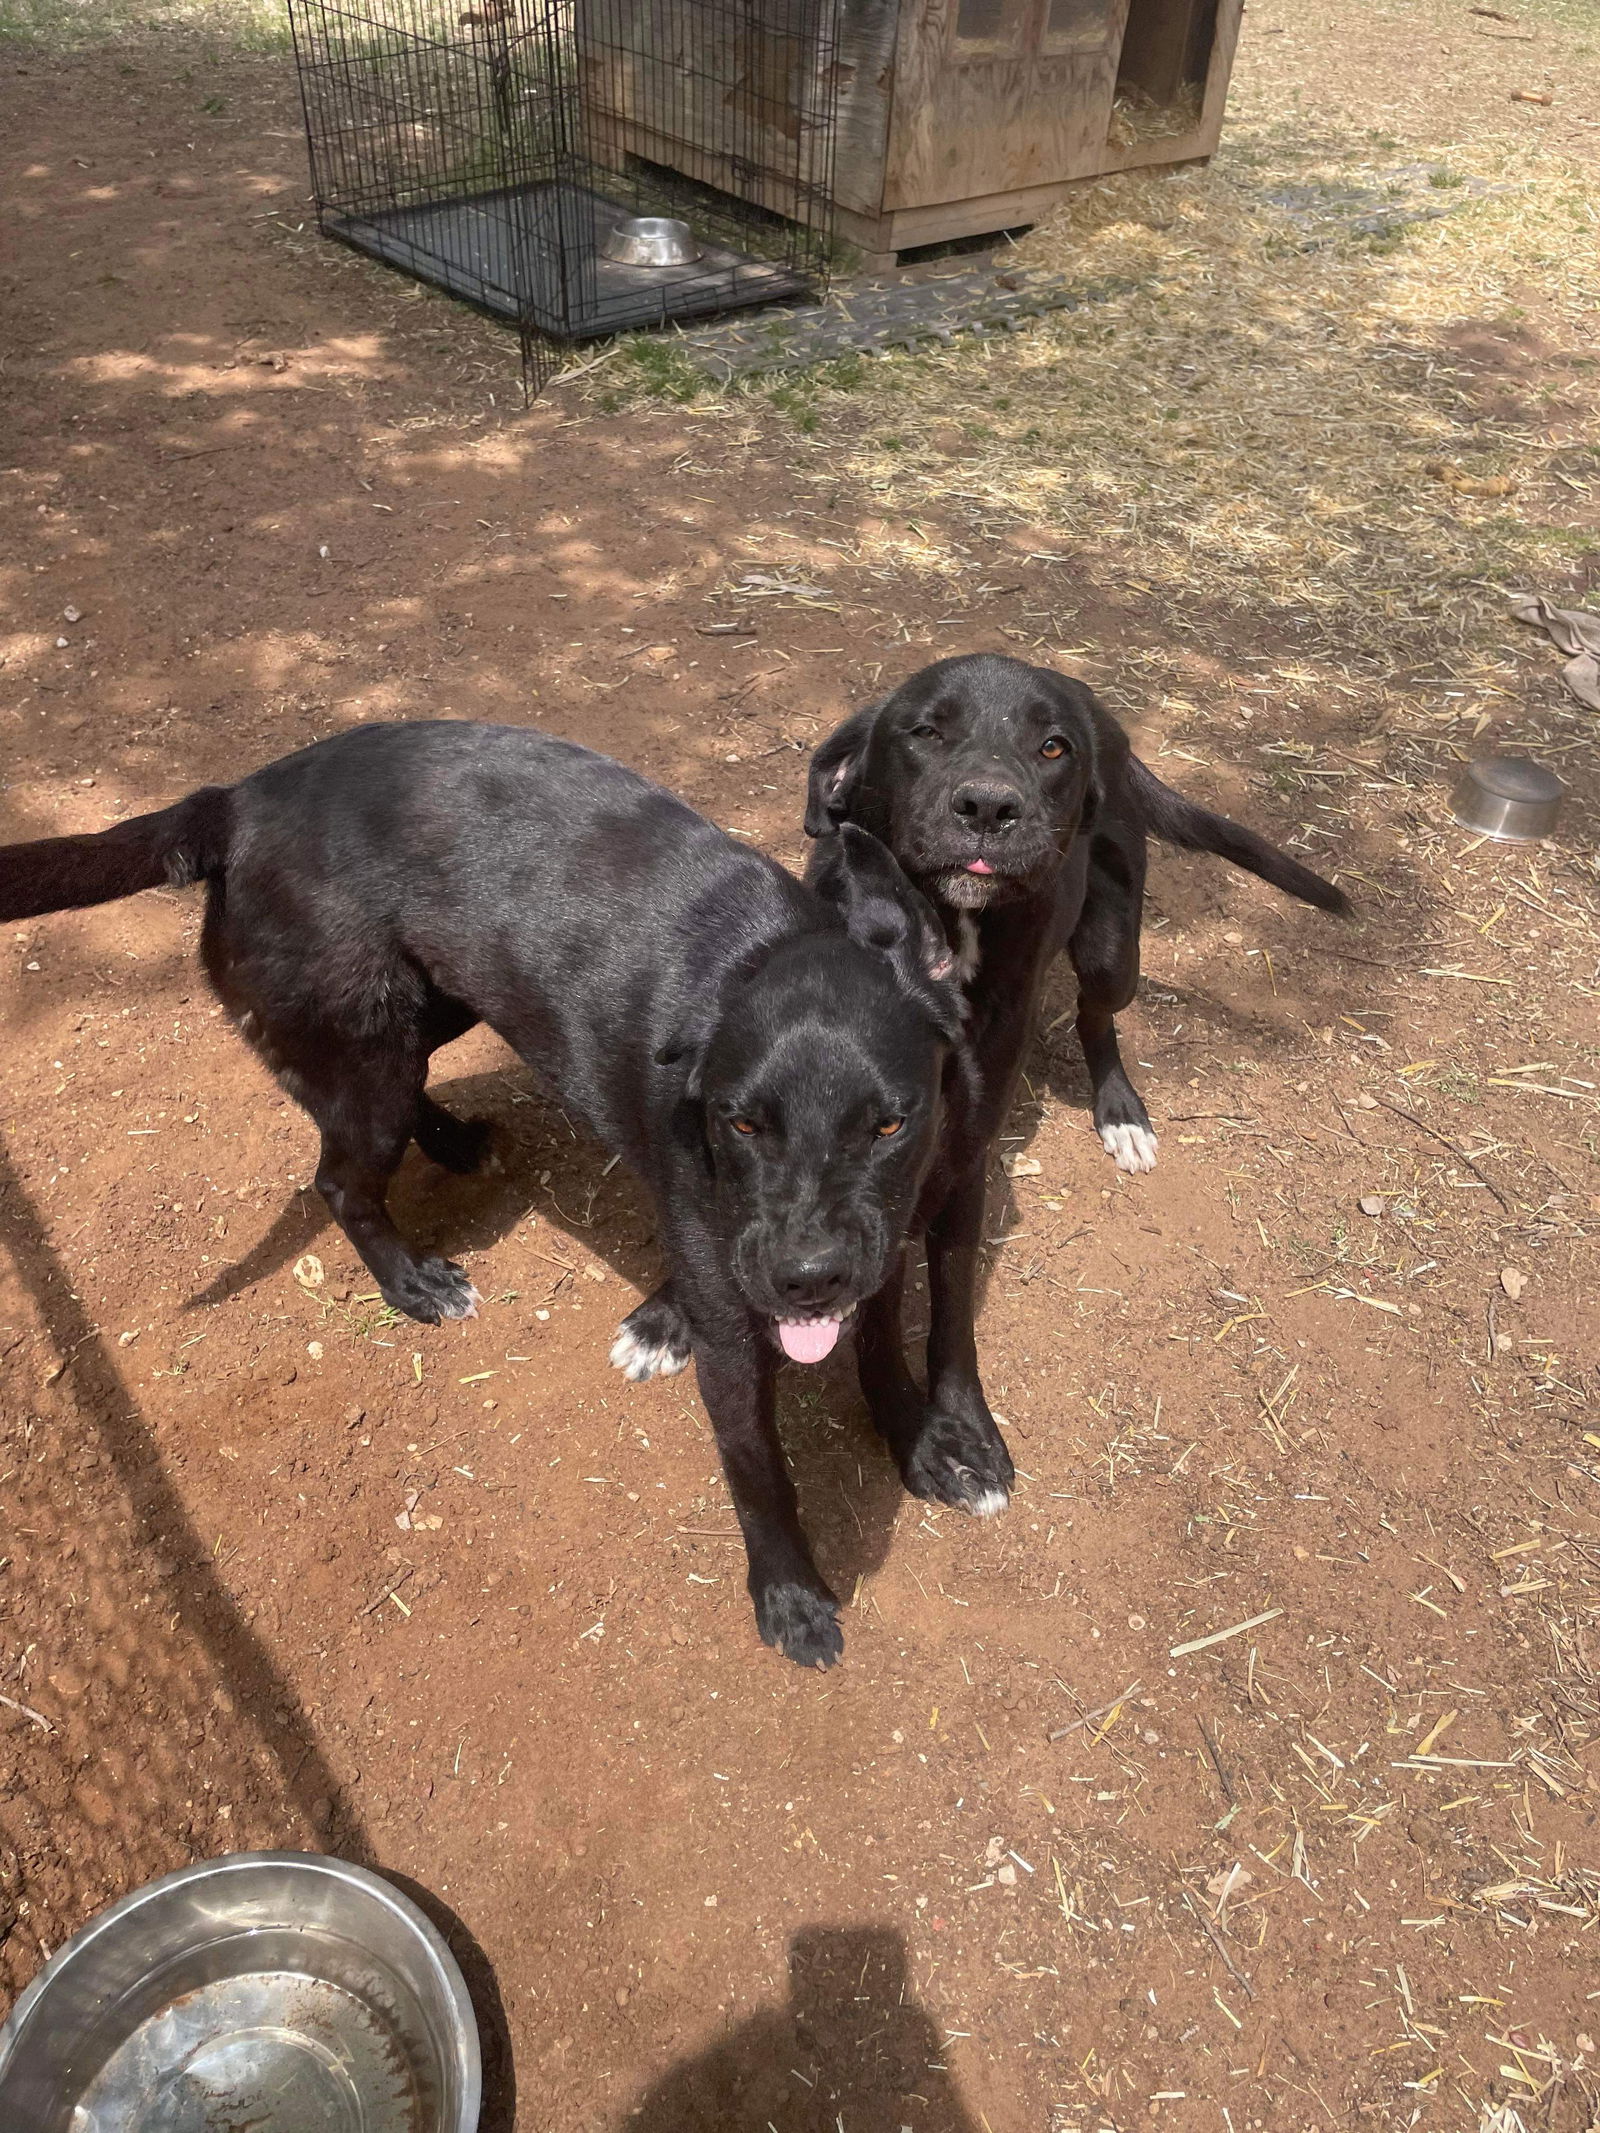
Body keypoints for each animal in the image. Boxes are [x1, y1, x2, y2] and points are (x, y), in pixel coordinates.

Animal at [0, 725, 964, 1672]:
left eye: (889, 1123)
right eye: (743, 1122)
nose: (809, 1279)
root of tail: (236, 800)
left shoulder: (882, 1243)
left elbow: (883, 1348)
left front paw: (925, 1441)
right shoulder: (732, 1323)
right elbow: (760, 1470)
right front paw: (791, 1598)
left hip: (427, 1007)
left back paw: (455, 1139)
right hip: (365, 1043)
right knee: (339, 1178)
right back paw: (412, 1282)